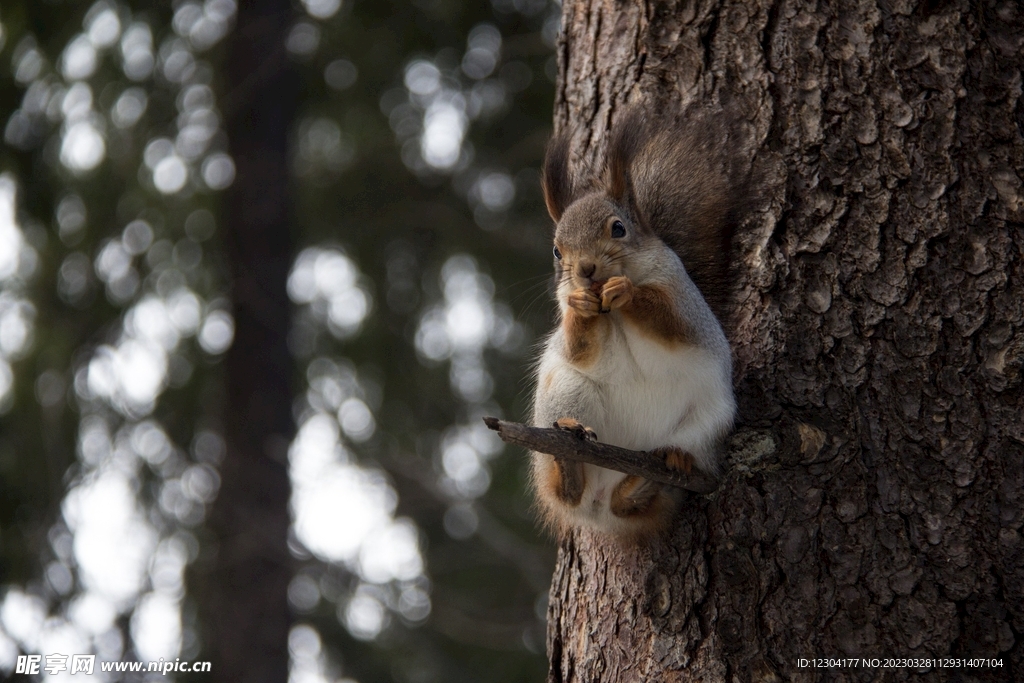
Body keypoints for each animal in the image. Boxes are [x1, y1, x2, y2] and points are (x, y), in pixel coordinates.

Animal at [528, 107, 745, 540]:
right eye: (558, 251)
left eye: (618, 228)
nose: (586, 270)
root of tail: (598, 507)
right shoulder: (571, 328)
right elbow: (579, 349)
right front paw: (581, 305)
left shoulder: (682, 301)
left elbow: (670, 323)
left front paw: (625, 291)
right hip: (565, 392)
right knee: (567, 491)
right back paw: (569, 460)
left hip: (707, 421)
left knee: (632, 498)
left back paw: (656, 473)